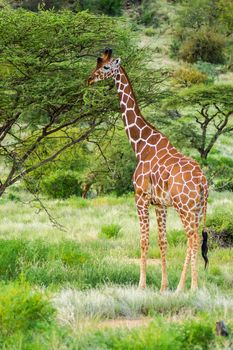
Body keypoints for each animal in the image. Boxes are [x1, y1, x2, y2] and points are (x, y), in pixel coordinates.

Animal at [88, 47, 208, 292]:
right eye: (96, 63)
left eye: (105, 67)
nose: (89, 79)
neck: (141, 146)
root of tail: (203, 181)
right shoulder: (160, 204)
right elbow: (162, 241)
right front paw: (163, 287)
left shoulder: (140, 198)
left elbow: (143, 240)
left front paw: (141, 285)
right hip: (198, 208)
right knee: (196, 238)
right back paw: (188, 286)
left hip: (184, 207)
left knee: (191, 237)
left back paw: (188, 287)